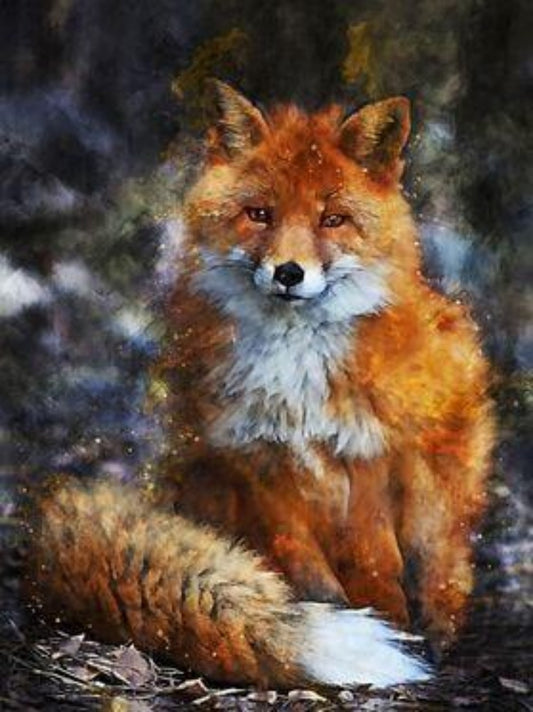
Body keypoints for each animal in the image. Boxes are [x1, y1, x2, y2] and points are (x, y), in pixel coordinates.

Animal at [24, 81, 494, 690]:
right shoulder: (258, 461)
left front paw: (395, 628)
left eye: (332, 220)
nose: (289, 273)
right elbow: (306, 568)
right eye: (260, 214)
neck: (297, 374)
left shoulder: (369, 455)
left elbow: (374, 564)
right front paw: (321, 619)